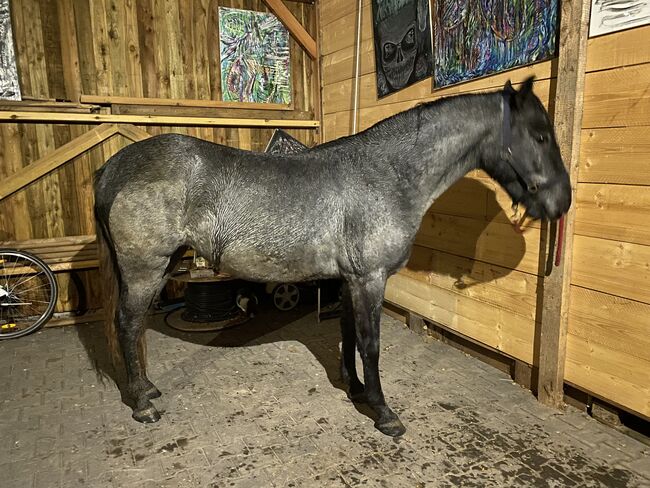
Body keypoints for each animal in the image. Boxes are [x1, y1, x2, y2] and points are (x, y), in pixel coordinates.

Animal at [95, 77, 568, 438]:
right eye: (541, 135)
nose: (561, 202)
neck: (387, 174)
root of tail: (114, 167)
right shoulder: (370, 278)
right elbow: (370, 343)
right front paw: (384, 413)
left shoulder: (347, 280)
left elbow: (347, 335)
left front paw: (354, 388)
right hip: (145, 269)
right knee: (128, 325)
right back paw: (142, 404)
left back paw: (148, 389)